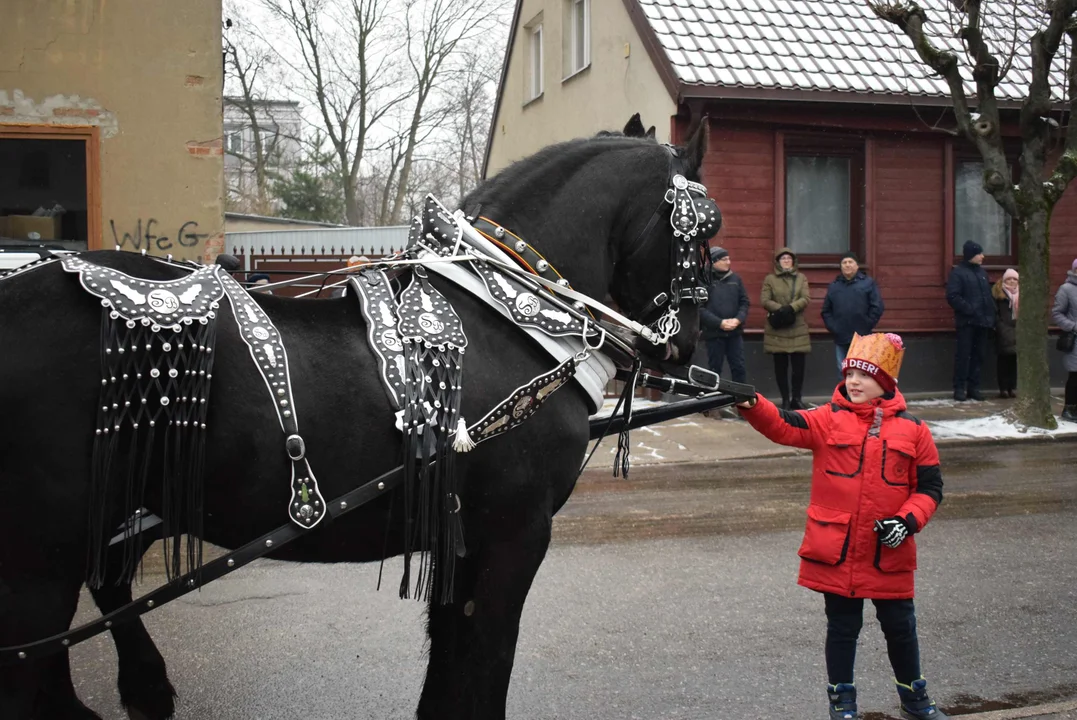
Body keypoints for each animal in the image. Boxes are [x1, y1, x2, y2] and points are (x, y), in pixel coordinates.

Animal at [0, 120, 710, 714]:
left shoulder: (460, 537)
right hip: (40, 560)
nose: (687, 348)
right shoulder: (514, 535)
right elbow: (483, 671)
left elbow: (448, 672)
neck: (510, 318)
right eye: (708, 230)